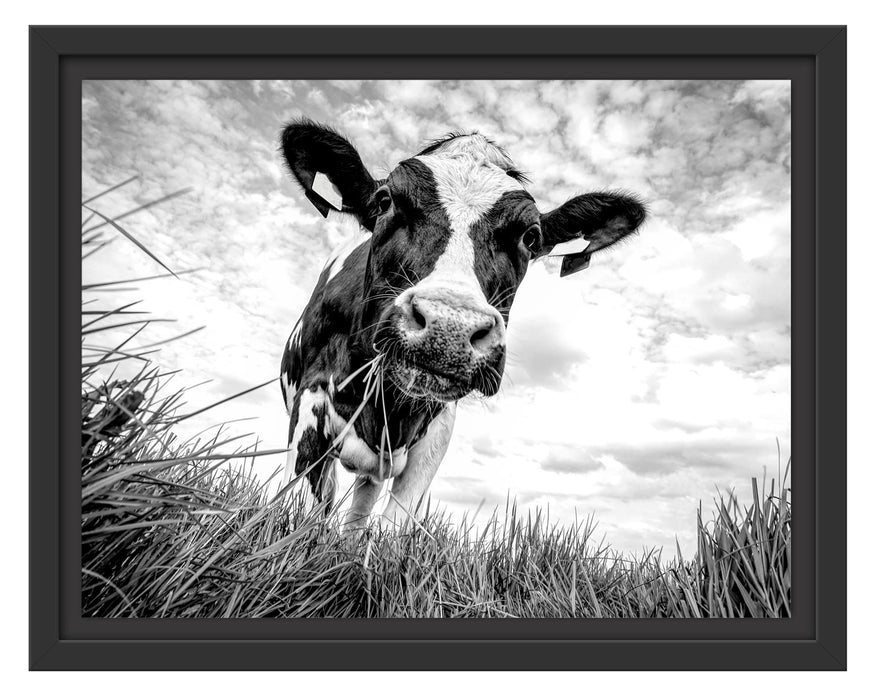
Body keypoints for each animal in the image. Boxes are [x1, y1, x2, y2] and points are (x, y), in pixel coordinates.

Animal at [279, 119, 646, 529]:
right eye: (385, 201)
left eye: (531, 236)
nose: (448, 329)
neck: (386, 404)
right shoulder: (311, 396)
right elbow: (302, 516)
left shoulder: (437, 428)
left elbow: (394, 524)